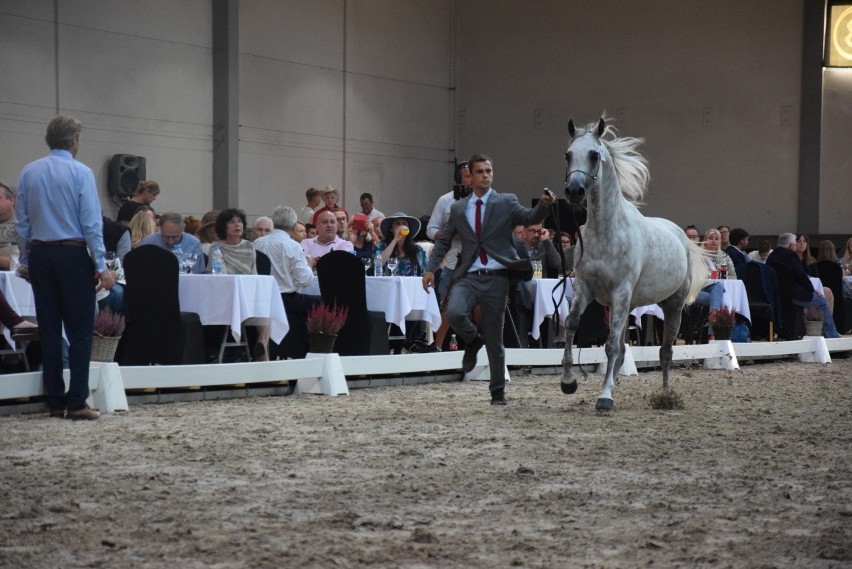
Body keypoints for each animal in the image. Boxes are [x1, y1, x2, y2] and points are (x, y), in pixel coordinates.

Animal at [560, 116, 704, 408]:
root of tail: (682, 237)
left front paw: (604, 397)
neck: (607, 232)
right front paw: (568, 381)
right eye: (568, 155)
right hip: (628, 307)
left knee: (665, 351)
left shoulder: (620, 292)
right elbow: (572, 324)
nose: (574, 191)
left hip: (672, 307)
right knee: (626, 349)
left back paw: (665, 394)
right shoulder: (585, 288)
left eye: (593, 155)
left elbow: (611, 345)